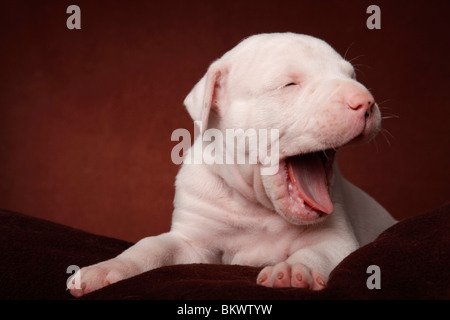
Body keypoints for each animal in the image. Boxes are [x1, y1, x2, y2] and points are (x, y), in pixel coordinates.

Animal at [68, 33, 396, 296]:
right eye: (290, 83)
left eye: (352, 76)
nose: (365, 101)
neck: (258, 207)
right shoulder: (192, 242)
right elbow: (152, 246)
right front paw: (105, 269)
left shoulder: (337, 238)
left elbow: (319, 251)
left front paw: (294, 270)